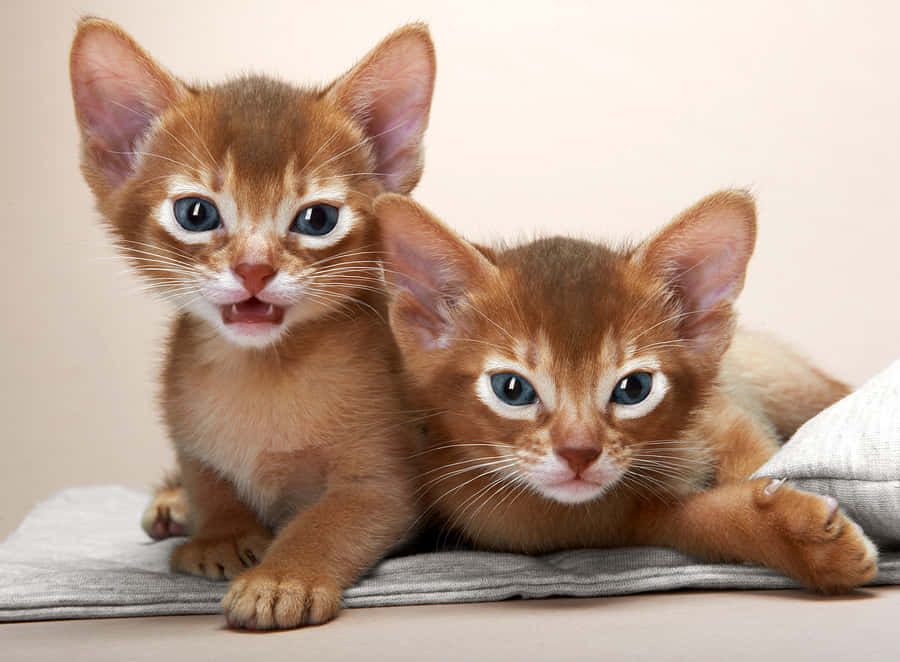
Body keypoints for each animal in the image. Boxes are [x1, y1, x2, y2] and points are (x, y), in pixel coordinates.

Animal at [70, 14, 436, 628]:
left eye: (318, 219)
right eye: (195, 213)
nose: (254, 269)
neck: (260, 373)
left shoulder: (384, 482)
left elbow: (326, 522)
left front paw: (281, 577)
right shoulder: (188, 433)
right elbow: (207, 480)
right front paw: (221, 534)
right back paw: (171, 506)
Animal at [374, 193, 880, 596]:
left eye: (634, 388)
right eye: (511, 389)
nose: (578, 453)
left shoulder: (726, 410)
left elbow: (758, 461)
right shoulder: (628, 523)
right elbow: (701, 519)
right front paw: (809, 541)